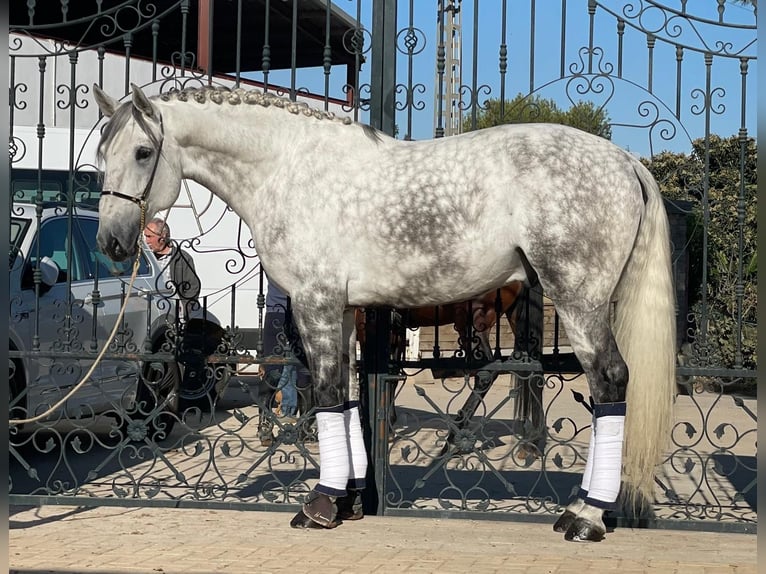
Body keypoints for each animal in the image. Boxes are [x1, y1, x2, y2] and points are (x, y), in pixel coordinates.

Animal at [93, 85, 676, 544]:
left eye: (144, 151)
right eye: (102, 153)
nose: (112, 242)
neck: (289, 167)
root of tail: (624, 161)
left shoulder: (317, 302)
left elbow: (328, 394)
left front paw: (320, 505)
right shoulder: (345, 311)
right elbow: (350, 398)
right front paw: (349, 498)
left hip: (577, 299)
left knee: (609, 381)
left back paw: (586, 515)